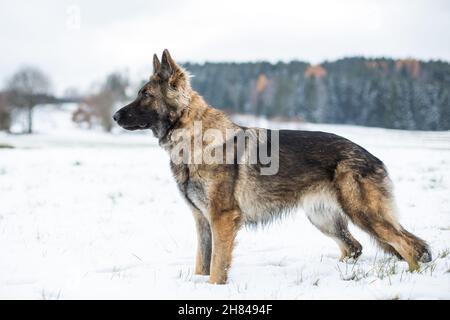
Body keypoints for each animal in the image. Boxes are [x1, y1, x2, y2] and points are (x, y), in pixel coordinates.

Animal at [111, 48, 428, 284]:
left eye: (145, 94)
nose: (114, 116)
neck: (193, 137)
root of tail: (373, 156)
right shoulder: (202, 220)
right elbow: (203, 261)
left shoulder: (222, 218)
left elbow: (217, 267)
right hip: (324, 218)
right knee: (357, 247)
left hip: (363, 213)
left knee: (410, 246)